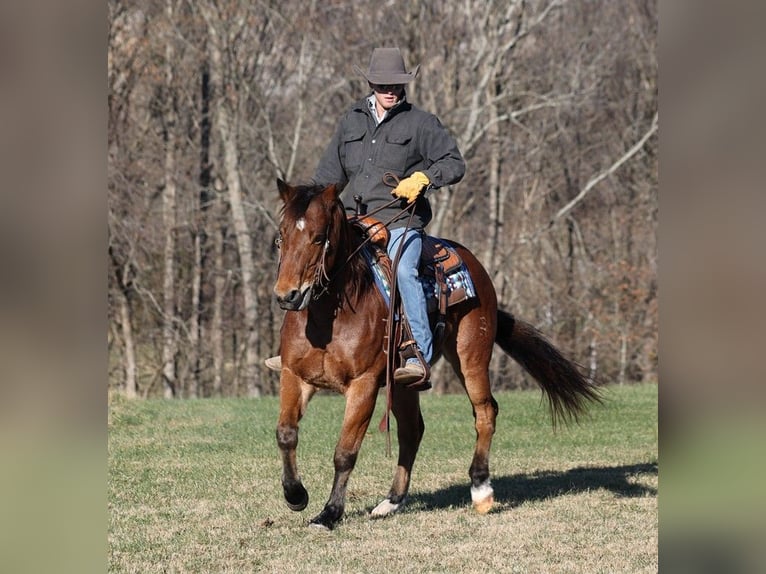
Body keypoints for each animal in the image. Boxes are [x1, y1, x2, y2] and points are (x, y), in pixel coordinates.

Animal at [272, 180, 604, 532]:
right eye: (282, 234)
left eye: (319, 237)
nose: (287, 295)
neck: (330, 316)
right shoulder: (294, 376)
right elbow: (286, 434)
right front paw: (295, 495)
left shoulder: (363, 385)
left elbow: (345, 451)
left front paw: (330, 513)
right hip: (403, 383)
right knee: (412, 430)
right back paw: (391, 501)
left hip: (471, 358)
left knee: (485, 412)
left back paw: (481, 488)